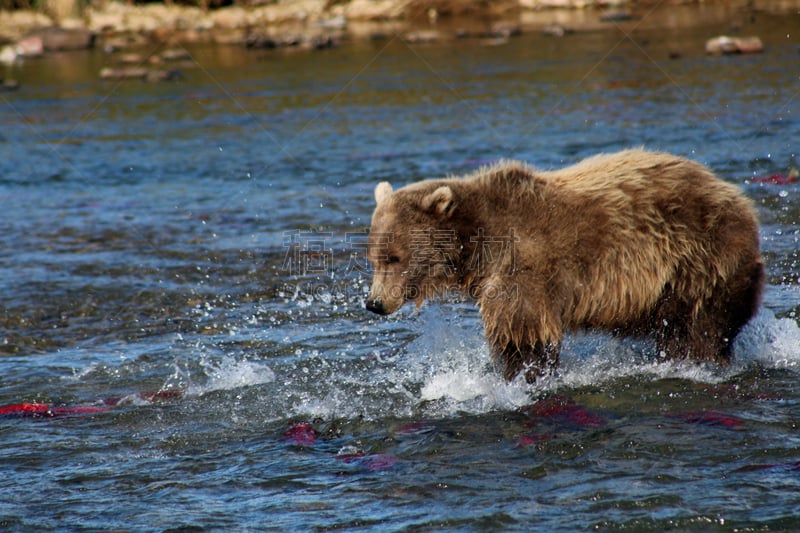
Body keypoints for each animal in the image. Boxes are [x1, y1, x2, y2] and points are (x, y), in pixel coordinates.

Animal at [366, 148, 764, 380]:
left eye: (394, 257)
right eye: (373, 257)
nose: (374, 302)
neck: (477, 245)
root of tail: (734, 193)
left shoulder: (526, 266)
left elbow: (523, 330)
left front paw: (524, 376)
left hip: (699, 257)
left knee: (701, 325)